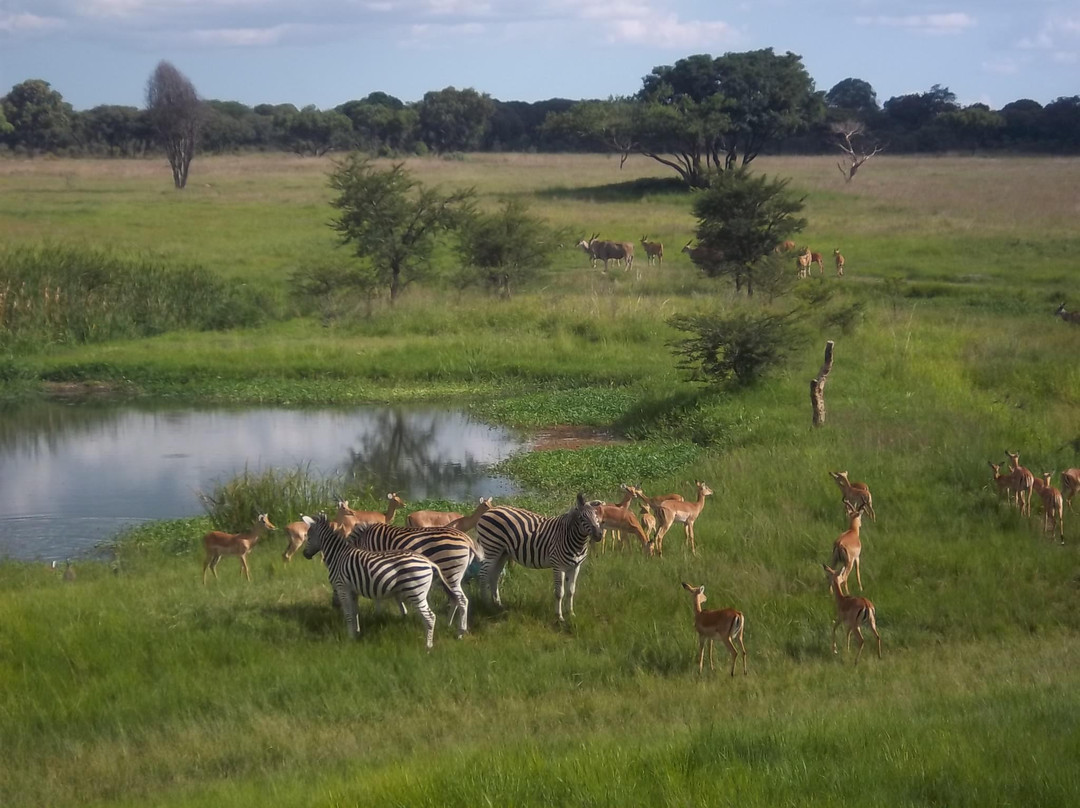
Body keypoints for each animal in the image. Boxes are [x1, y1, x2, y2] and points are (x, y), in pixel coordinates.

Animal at [300, 518, 447, 648]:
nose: (304, 554)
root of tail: (428, 561)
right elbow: (355, 612)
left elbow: (348, 614)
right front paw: (356, 633)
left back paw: (428, 646)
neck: (338, 556)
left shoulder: (343, 588)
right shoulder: (353, 591)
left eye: (308, 537)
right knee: (426, 616)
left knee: (430, 617)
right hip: (419, 592)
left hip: (416, 592)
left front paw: (349, 637)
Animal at [343, 524, 483, 639]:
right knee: (455, 599)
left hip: (451, 573)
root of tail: (467, 538)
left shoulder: (377, 569)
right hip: (448, 576)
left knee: (462, 600)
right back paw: (448, 624)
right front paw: (403, 613)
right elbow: (396, 595)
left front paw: (379, 614)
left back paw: (460, 632)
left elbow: (379, 595)